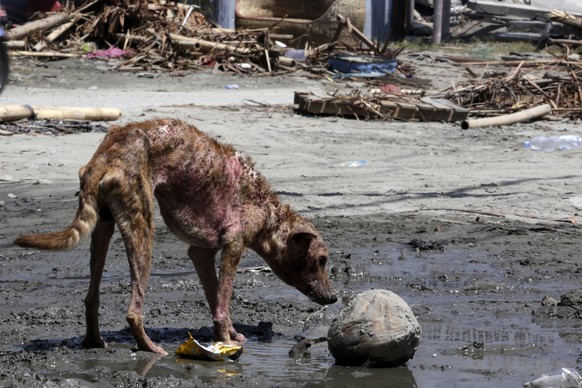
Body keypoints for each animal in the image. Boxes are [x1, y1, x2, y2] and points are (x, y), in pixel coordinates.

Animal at [13, 118, 338, 354]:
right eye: (321, 260)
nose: (334, 298)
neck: (267, 209)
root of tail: (104, 157)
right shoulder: (233, 248)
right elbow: (223, 305)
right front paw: (226, 340)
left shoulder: (201, 253)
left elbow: (216, 300)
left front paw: (231, 334)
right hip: (142, 229)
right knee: (133, 311)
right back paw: (149, 347)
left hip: (103, 228)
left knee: (91, 297)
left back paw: (94, 341)